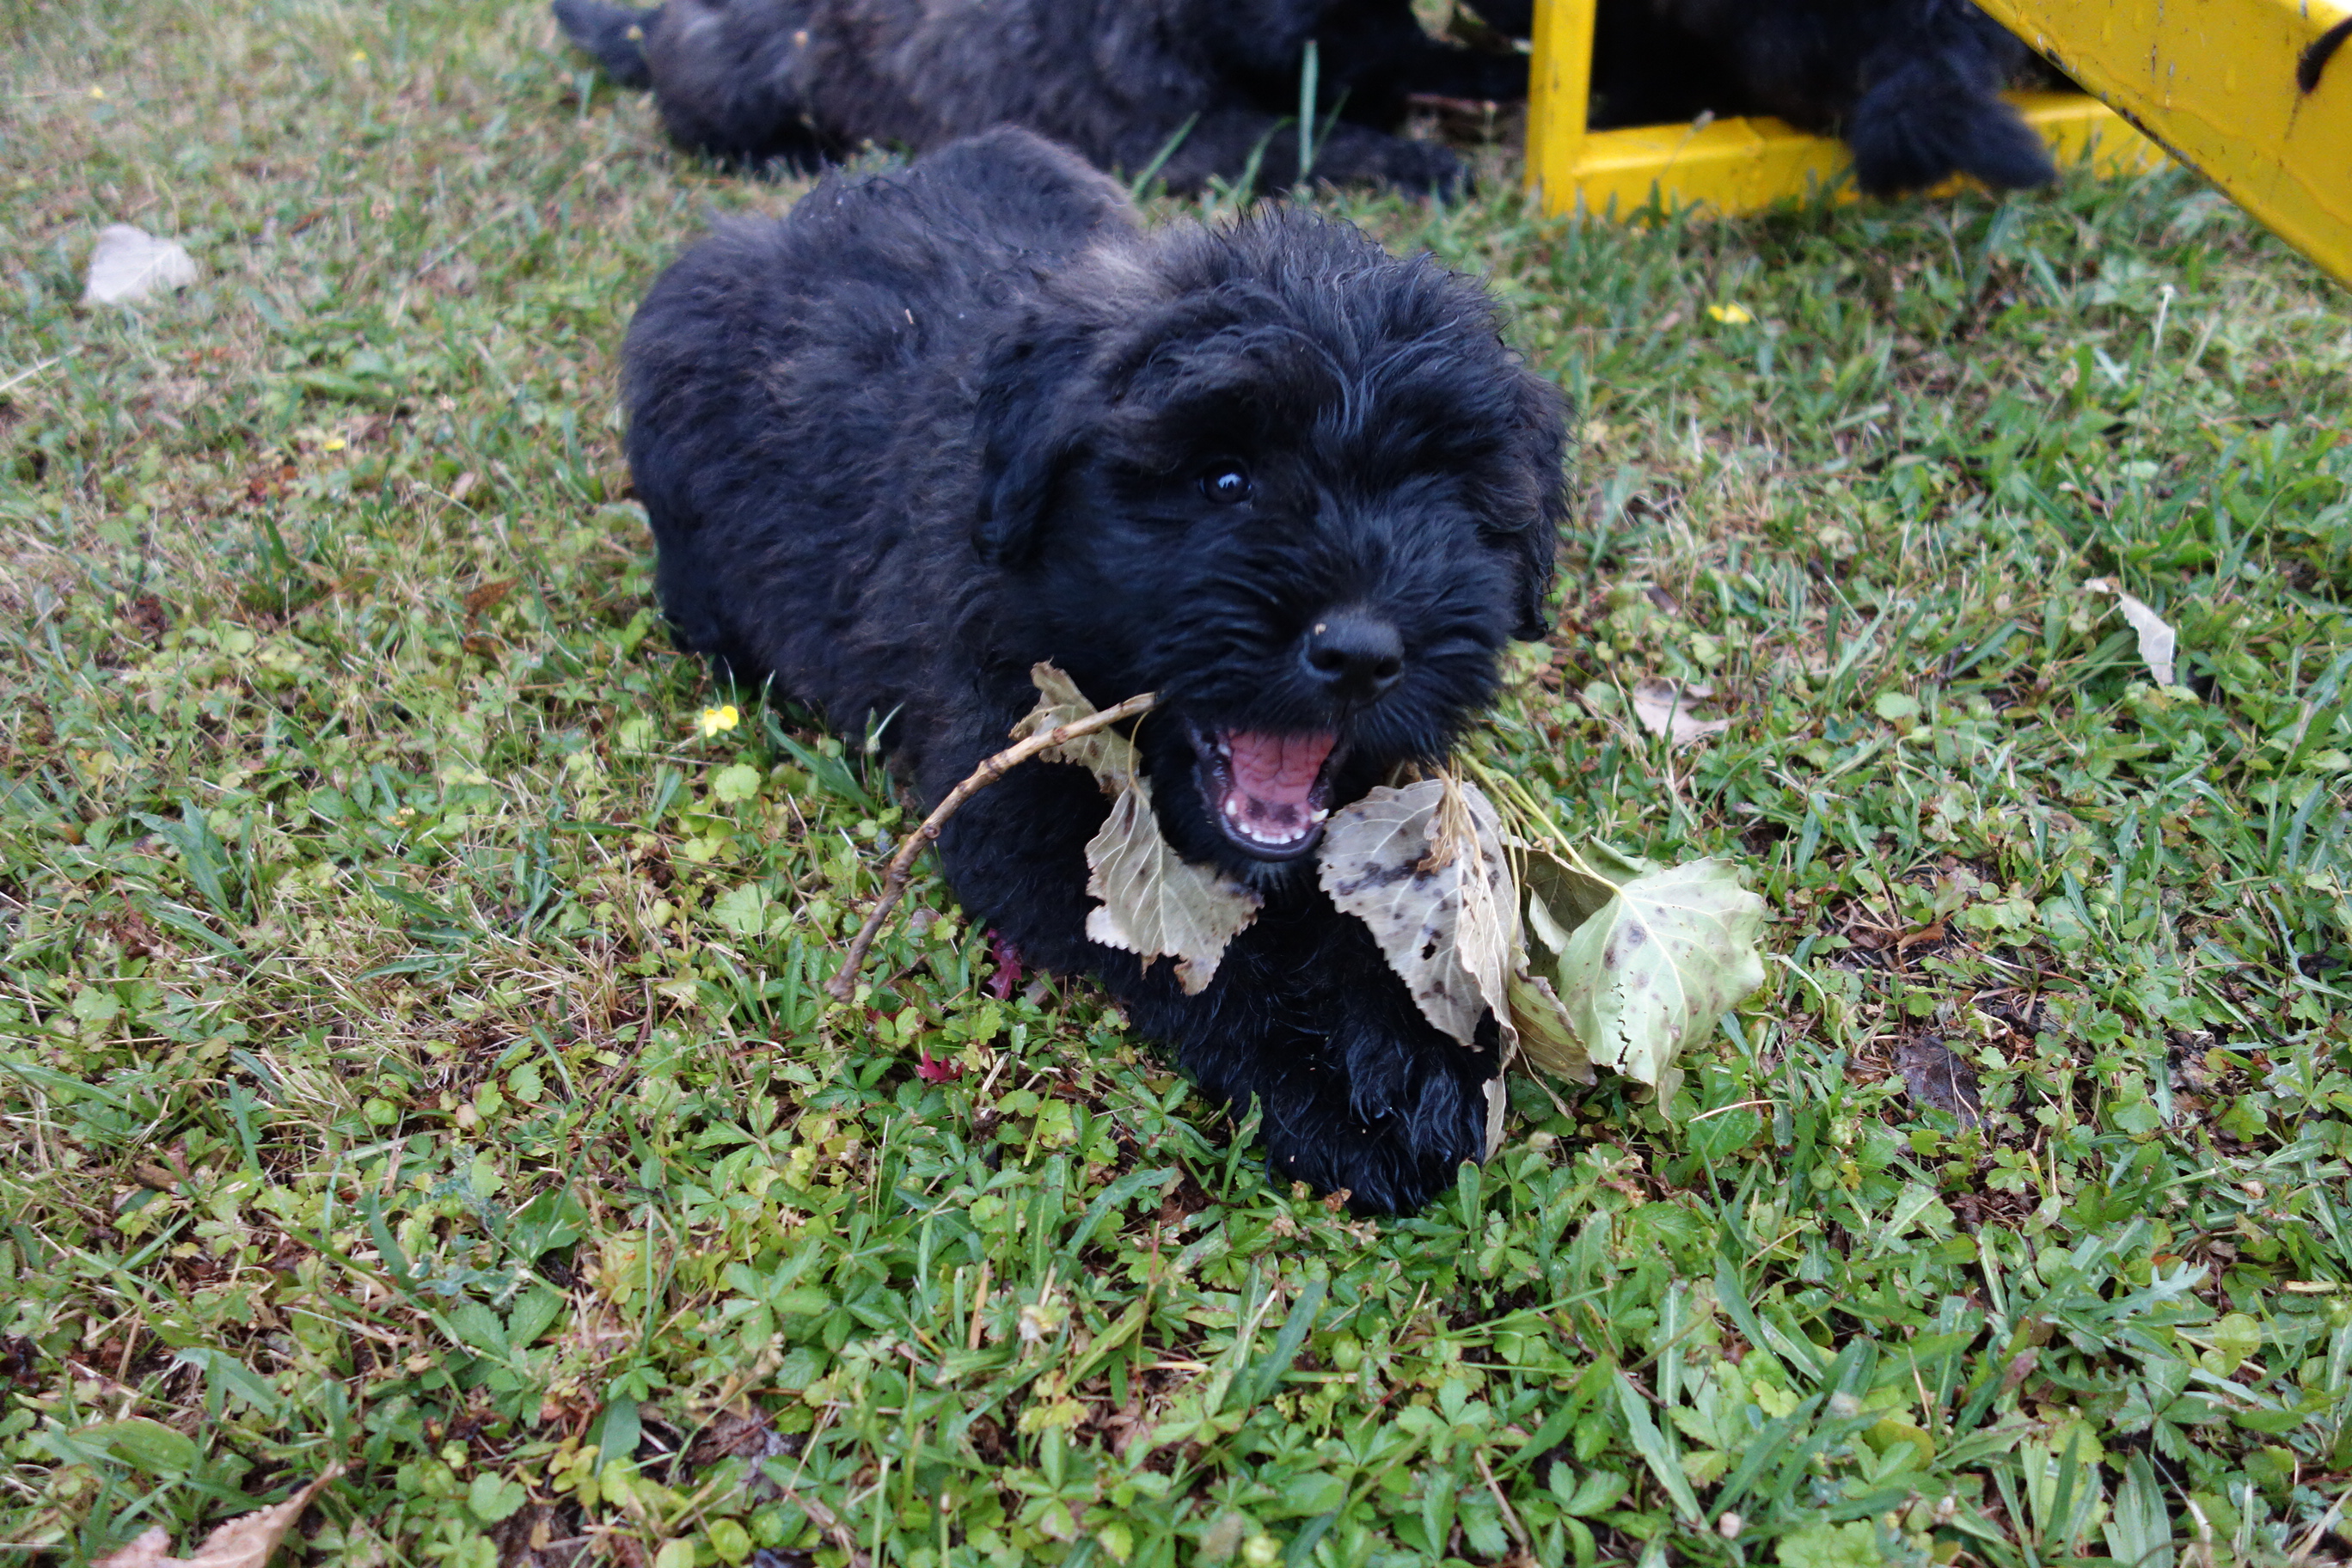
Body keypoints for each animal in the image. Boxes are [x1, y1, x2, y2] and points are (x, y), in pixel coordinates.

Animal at [619, 129, 1567, 1212]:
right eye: (1224, 479)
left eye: (1441, 497)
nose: (1363, 652)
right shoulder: (1015, 811)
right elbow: (1200, 957)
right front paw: (1327, 1094)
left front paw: (1413, 1051)